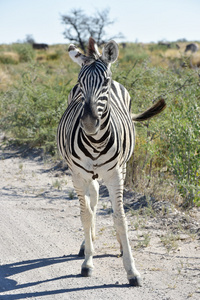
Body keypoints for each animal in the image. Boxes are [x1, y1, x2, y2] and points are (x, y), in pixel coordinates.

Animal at [56, 37, 166, 286]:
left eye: (104, 82)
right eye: (80, 82)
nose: (89, 124)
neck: (95, 142)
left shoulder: (115, 175)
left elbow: (120, 218)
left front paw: (131, 270)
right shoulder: (78, 175)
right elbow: (85, 215)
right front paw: (87, 262)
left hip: (122, 168)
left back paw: (118, 247)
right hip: (88, 175)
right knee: (93, 201)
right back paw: (87, 244)